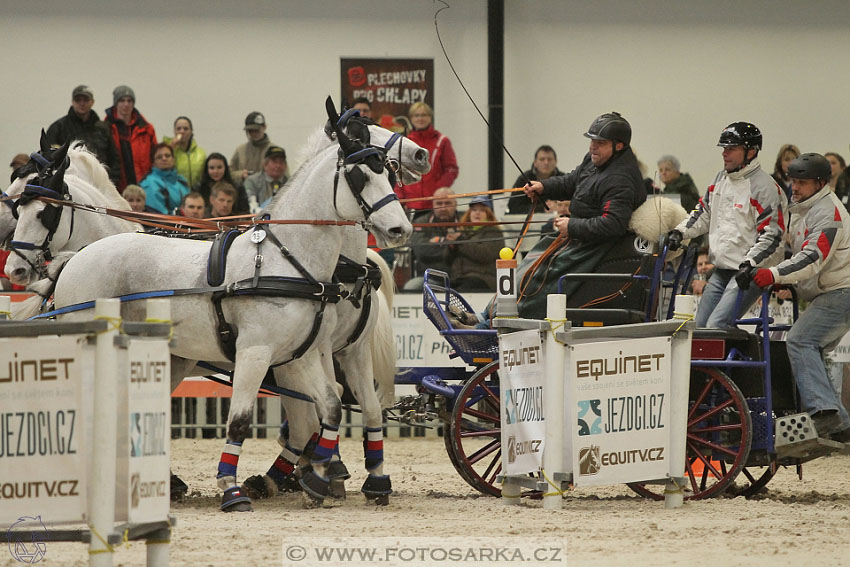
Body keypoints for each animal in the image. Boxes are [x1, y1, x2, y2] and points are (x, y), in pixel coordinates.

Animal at [50, 100, 414, 512]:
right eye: (359, 176)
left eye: (386, 172)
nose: (401, 229)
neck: (288, 261)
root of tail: (74, 259)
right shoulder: (256, 352)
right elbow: (240, 419)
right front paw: (231, 489)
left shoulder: (302, 353)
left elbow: (332, 406)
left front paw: (319, 479)